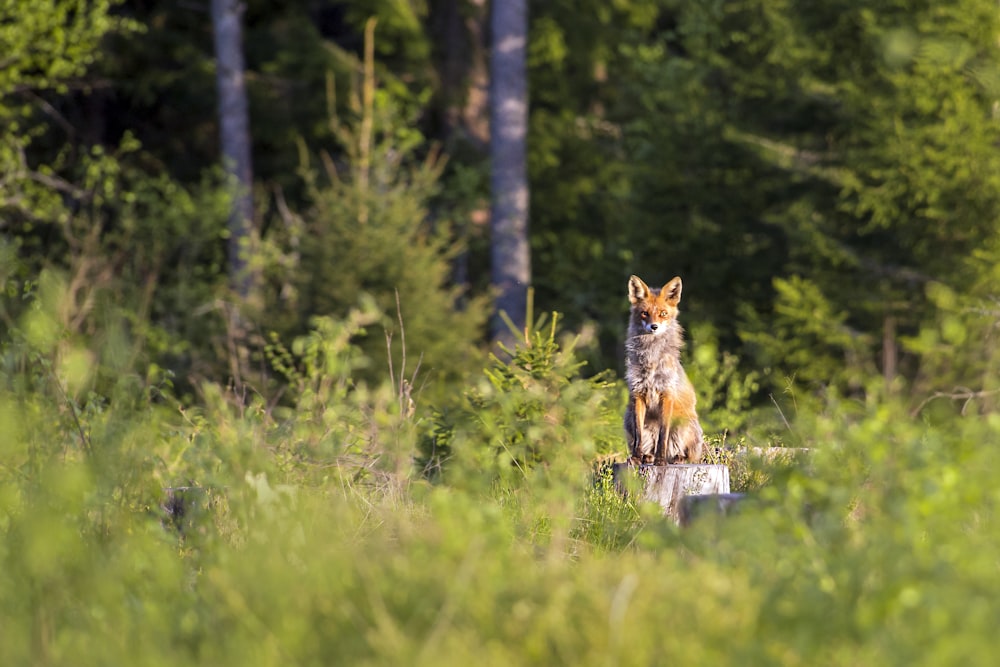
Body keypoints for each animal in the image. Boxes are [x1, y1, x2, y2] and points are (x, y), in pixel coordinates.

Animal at [620, 274, 708, 468]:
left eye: (663, 313)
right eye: (644, 313)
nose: (654, 327)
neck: (651, 359)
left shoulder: (666, 394)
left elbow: (663, 435)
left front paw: (660, 461)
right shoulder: (638, 394)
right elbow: (639, 436)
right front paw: (636, 458)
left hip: (685, 425)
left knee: (686, 454)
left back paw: (676, 458)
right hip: (628, 417)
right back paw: (648, 457)